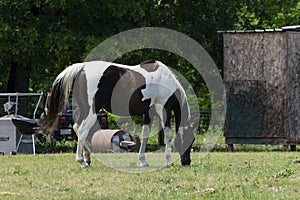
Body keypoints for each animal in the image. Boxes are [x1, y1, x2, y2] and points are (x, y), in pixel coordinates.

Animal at [41, 60, 195, 168]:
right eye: (190, 140)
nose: (187, 162)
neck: (166, 80)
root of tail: (81, 68)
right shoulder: (163, 109)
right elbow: (168, 134)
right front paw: (169, 161)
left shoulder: (148, 114)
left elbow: (145, 135)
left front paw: (143, 161)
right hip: (92, 111)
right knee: (83, 129)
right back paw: (82, 161)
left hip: (84, 109)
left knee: (77, 128)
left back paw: (88, 158)